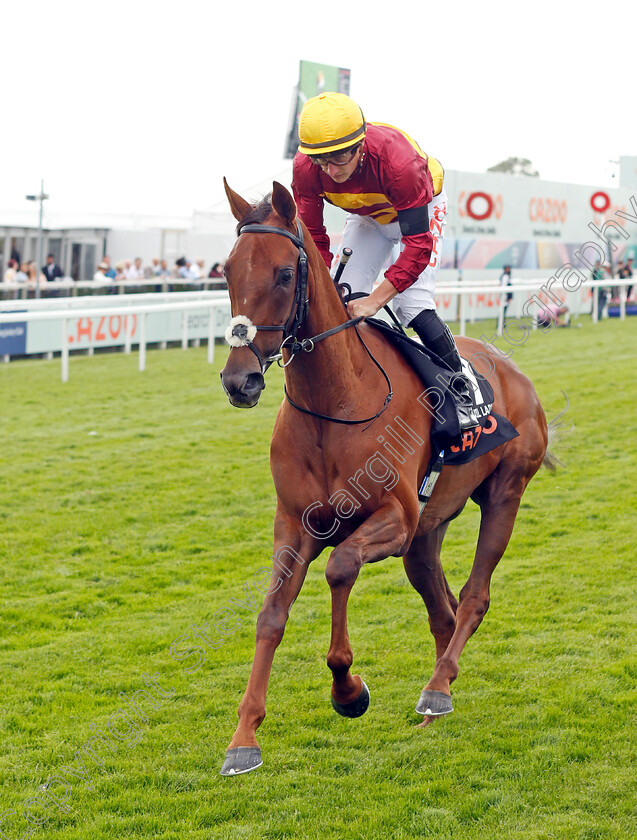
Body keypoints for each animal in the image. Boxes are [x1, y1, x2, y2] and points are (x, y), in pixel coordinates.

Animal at [216, 180, 548, 776]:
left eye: (284, 274)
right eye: (227, 270)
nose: (241, 380)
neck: (336, 403)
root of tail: (516, 373)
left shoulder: (393, 519)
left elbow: (340, 568)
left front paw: (349, 691)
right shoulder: (294, 525)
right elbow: (271, 614)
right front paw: (243, 738)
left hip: (504, 493)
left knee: (474, 597)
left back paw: (436, 689)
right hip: (427, 534)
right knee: (443, 609)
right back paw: (438, 699)